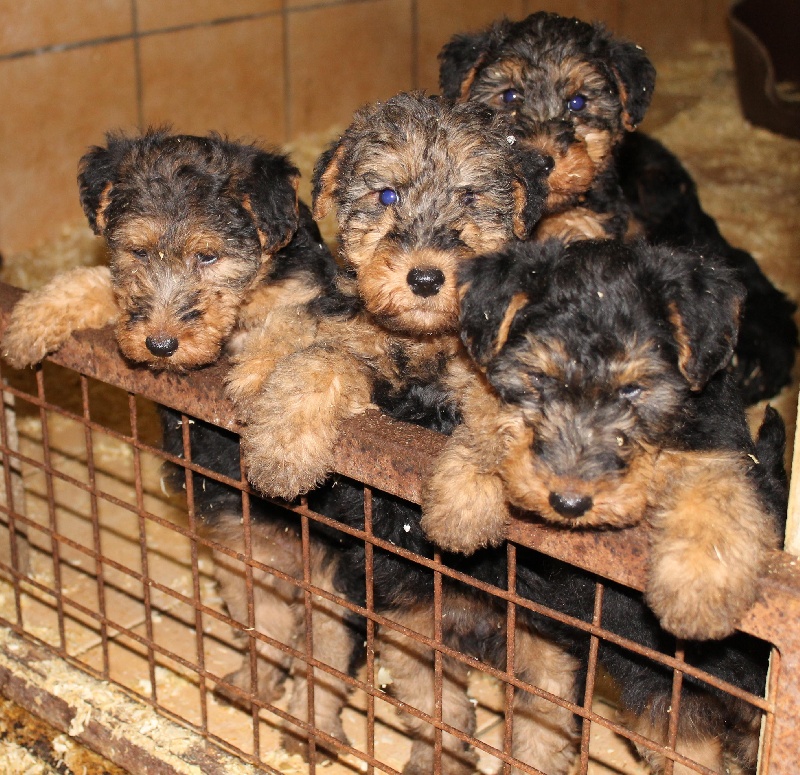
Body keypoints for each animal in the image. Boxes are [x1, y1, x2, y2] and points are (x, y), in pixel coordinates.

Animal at [422, 239, 780, 644]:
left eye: (632, 389)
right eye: (540, 378)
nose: (569, 503)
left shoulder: (719, 443)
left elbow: (717, 489)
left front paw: (698, 583)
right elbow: (487, 411)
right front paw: (463, 499)